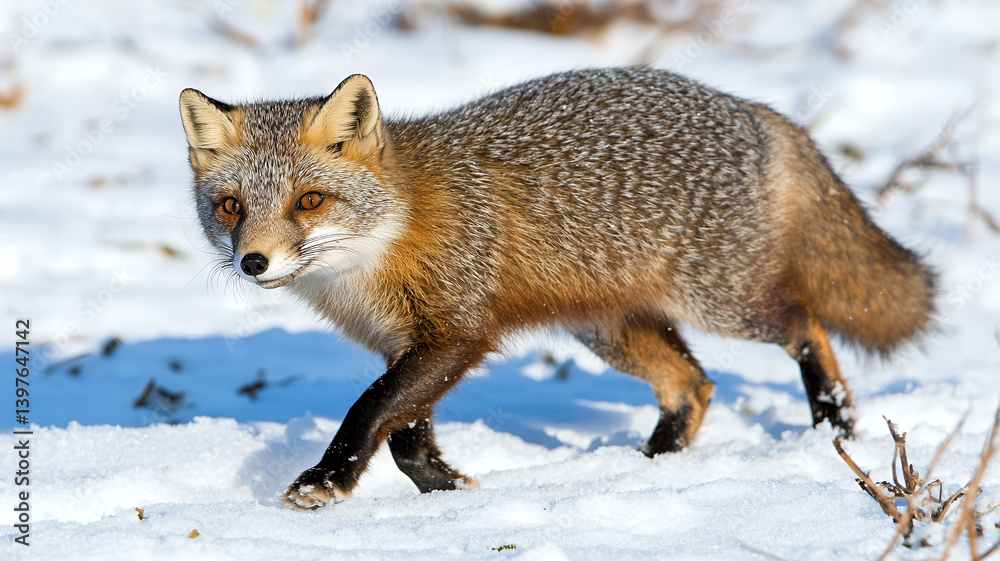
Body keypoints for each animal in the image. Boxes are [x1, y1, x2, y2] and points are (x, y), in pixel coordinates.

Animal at [179, 67, 936, 510]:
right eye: (231, 207)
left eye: (309, 201)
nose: (253, 262)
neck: (384, 244)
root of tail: (749, 106)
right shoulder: (406, 343)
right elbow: (405, 437)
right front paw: (451, 492)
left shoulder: (455, 332)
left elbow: (371, 414)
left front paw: (328, 478)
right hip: (608, 329)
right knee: (693, 386)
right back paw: (646, 470)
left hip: (722, 302)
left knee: (805, 327)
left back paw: (835, 423)